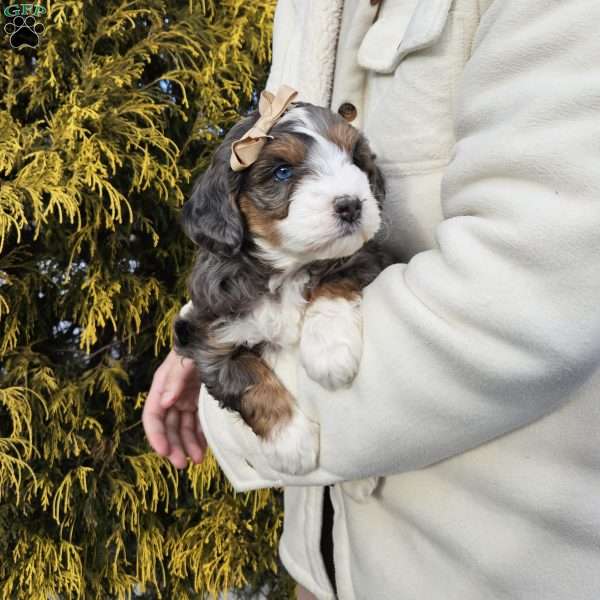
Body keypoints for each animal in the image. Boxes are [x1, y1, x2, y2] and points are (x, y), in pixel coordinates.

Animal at [173, 96, 390, 476]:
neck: (286, 269)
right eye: (283, 172)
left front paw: (328, 351)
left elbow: (334, 278)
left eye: (355, 159)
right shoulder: (209, 339)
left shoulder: (370, 257)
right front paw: (291, 444)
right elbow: (247, 382)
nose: (351, 204)